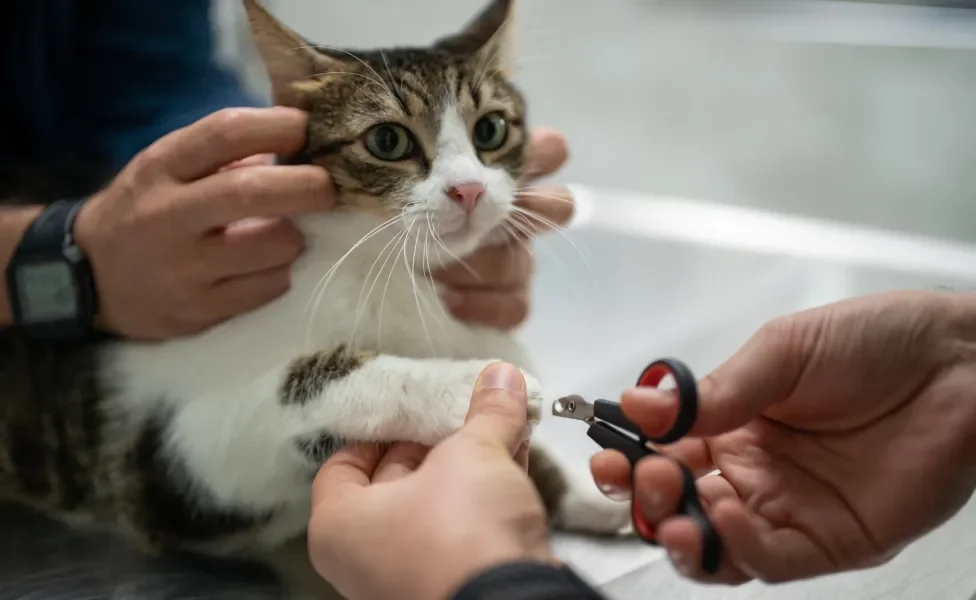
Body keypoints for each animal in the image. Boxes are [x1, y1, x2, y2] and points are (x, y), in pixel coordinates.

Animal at [0, 1, 632, 596]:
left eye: (491, 131)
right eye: (387, 140)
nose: (469, 190)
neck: (389, 272)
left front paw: (585, 485)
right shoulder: (163, 461)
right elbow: (302, 383)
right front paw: (465, 382)